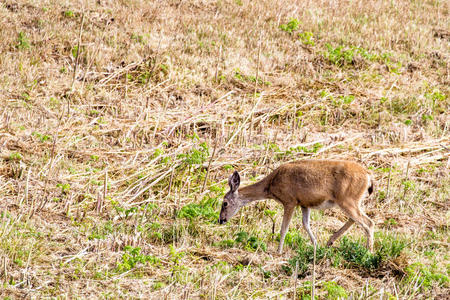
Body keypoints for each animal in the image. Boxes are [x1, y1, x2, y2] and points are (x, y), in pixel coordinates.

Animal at [220, 158, 374, 254]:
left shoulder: (290, 201)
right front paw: (316, 246)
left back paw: (369, 252)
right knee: (356, 219)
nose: (221, 220)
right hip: (352, 201)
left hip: (347, 199)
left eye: (225, 203)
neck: (271, 185)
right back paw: (330, 241)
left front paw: (279, 251)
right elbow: (306, 224)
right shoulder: (304, 204)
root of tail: (368, 175)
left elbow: (284, 228)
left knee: (368, 222)